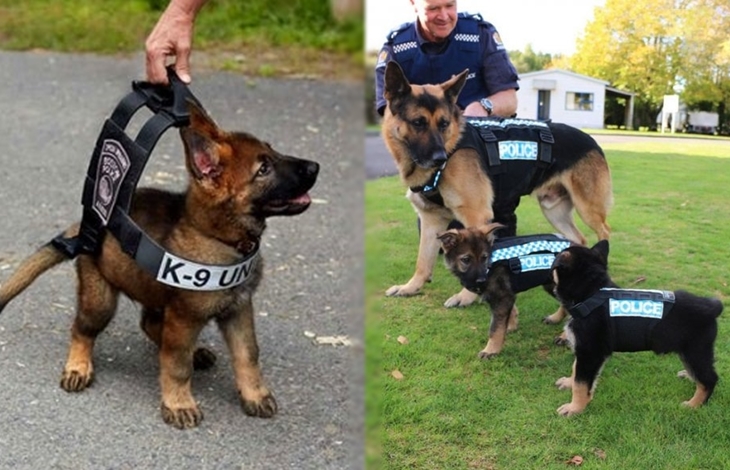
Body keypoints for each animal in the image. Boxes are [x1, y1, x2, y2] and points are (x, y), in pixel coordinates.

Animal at [0, 101, 319, 429]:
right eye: (263, 169)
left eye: (273, 151)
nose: (315, 167)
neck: (219, 238)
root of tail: (89, 223)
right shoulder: (184, 317)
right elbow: (176, 364)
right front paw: (179, 403)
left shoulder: (238, 309)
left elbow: (248, 355)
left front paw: (255, 394)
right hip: (100, 299)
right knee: (83, 329)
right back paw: (78, 366)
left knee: (150, 324)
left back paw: (195, 352)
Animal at [381, 61, 612, 308]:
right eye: (418, 123)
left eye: (444, 124)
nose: (441, 158)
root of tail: (592, 140)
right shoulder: (431, 220)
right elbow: (423, 261)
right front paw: (411, 287)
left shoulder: (476, 216)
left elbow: (477, 258)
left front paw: (467, 295)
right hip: (554, 212)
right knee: (578, 238)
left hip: (587, 209)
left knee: (604, 231)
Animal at [438, 224, 570, 358]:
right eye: (466, 259)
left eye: (484, 258)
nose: (482, 280)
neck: (490, 266)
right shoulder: (506, 296)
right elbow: (509, 313)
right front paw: (511, 326)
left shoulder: (502, 297)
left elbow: (495, 328)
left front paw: (491, 350)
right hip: (550, 285)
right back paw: (555, 318)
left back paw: (564, 337)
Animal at [551, 240, 722, 416]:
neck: (591, 293)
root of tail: (712, 307)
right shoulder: (584, 351)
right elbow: (576, 370)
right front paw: (569, 383)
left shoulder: (591, 353)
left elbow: (582, 384)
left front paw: (574, 408)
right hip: (689, 352)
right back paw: (688, 377)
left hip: (695, 350)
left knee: (709, 379)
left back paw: (694, 404)